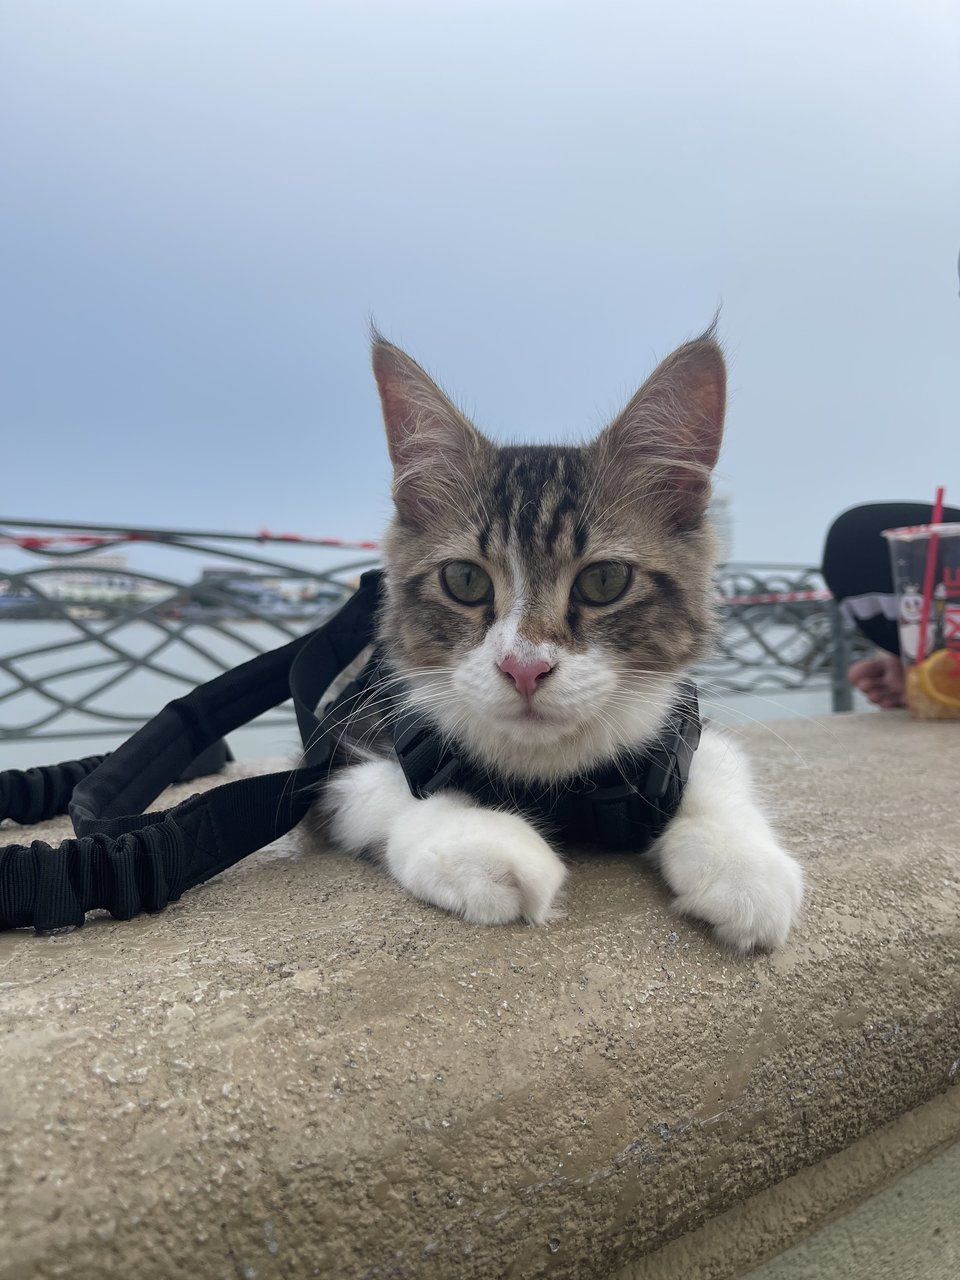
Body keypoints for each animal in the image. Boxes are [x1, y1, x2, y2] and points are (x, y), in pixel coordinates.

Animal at [321, 330, 803, 952]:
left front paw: (742, 864)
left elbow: (716, 767)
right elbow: (386, 786)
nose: (523, 668)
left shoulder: (685, 730)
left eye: (604, 581)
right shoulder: (336, 748)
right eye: (465, 580)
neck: (553, 772)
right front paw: (486, 844)